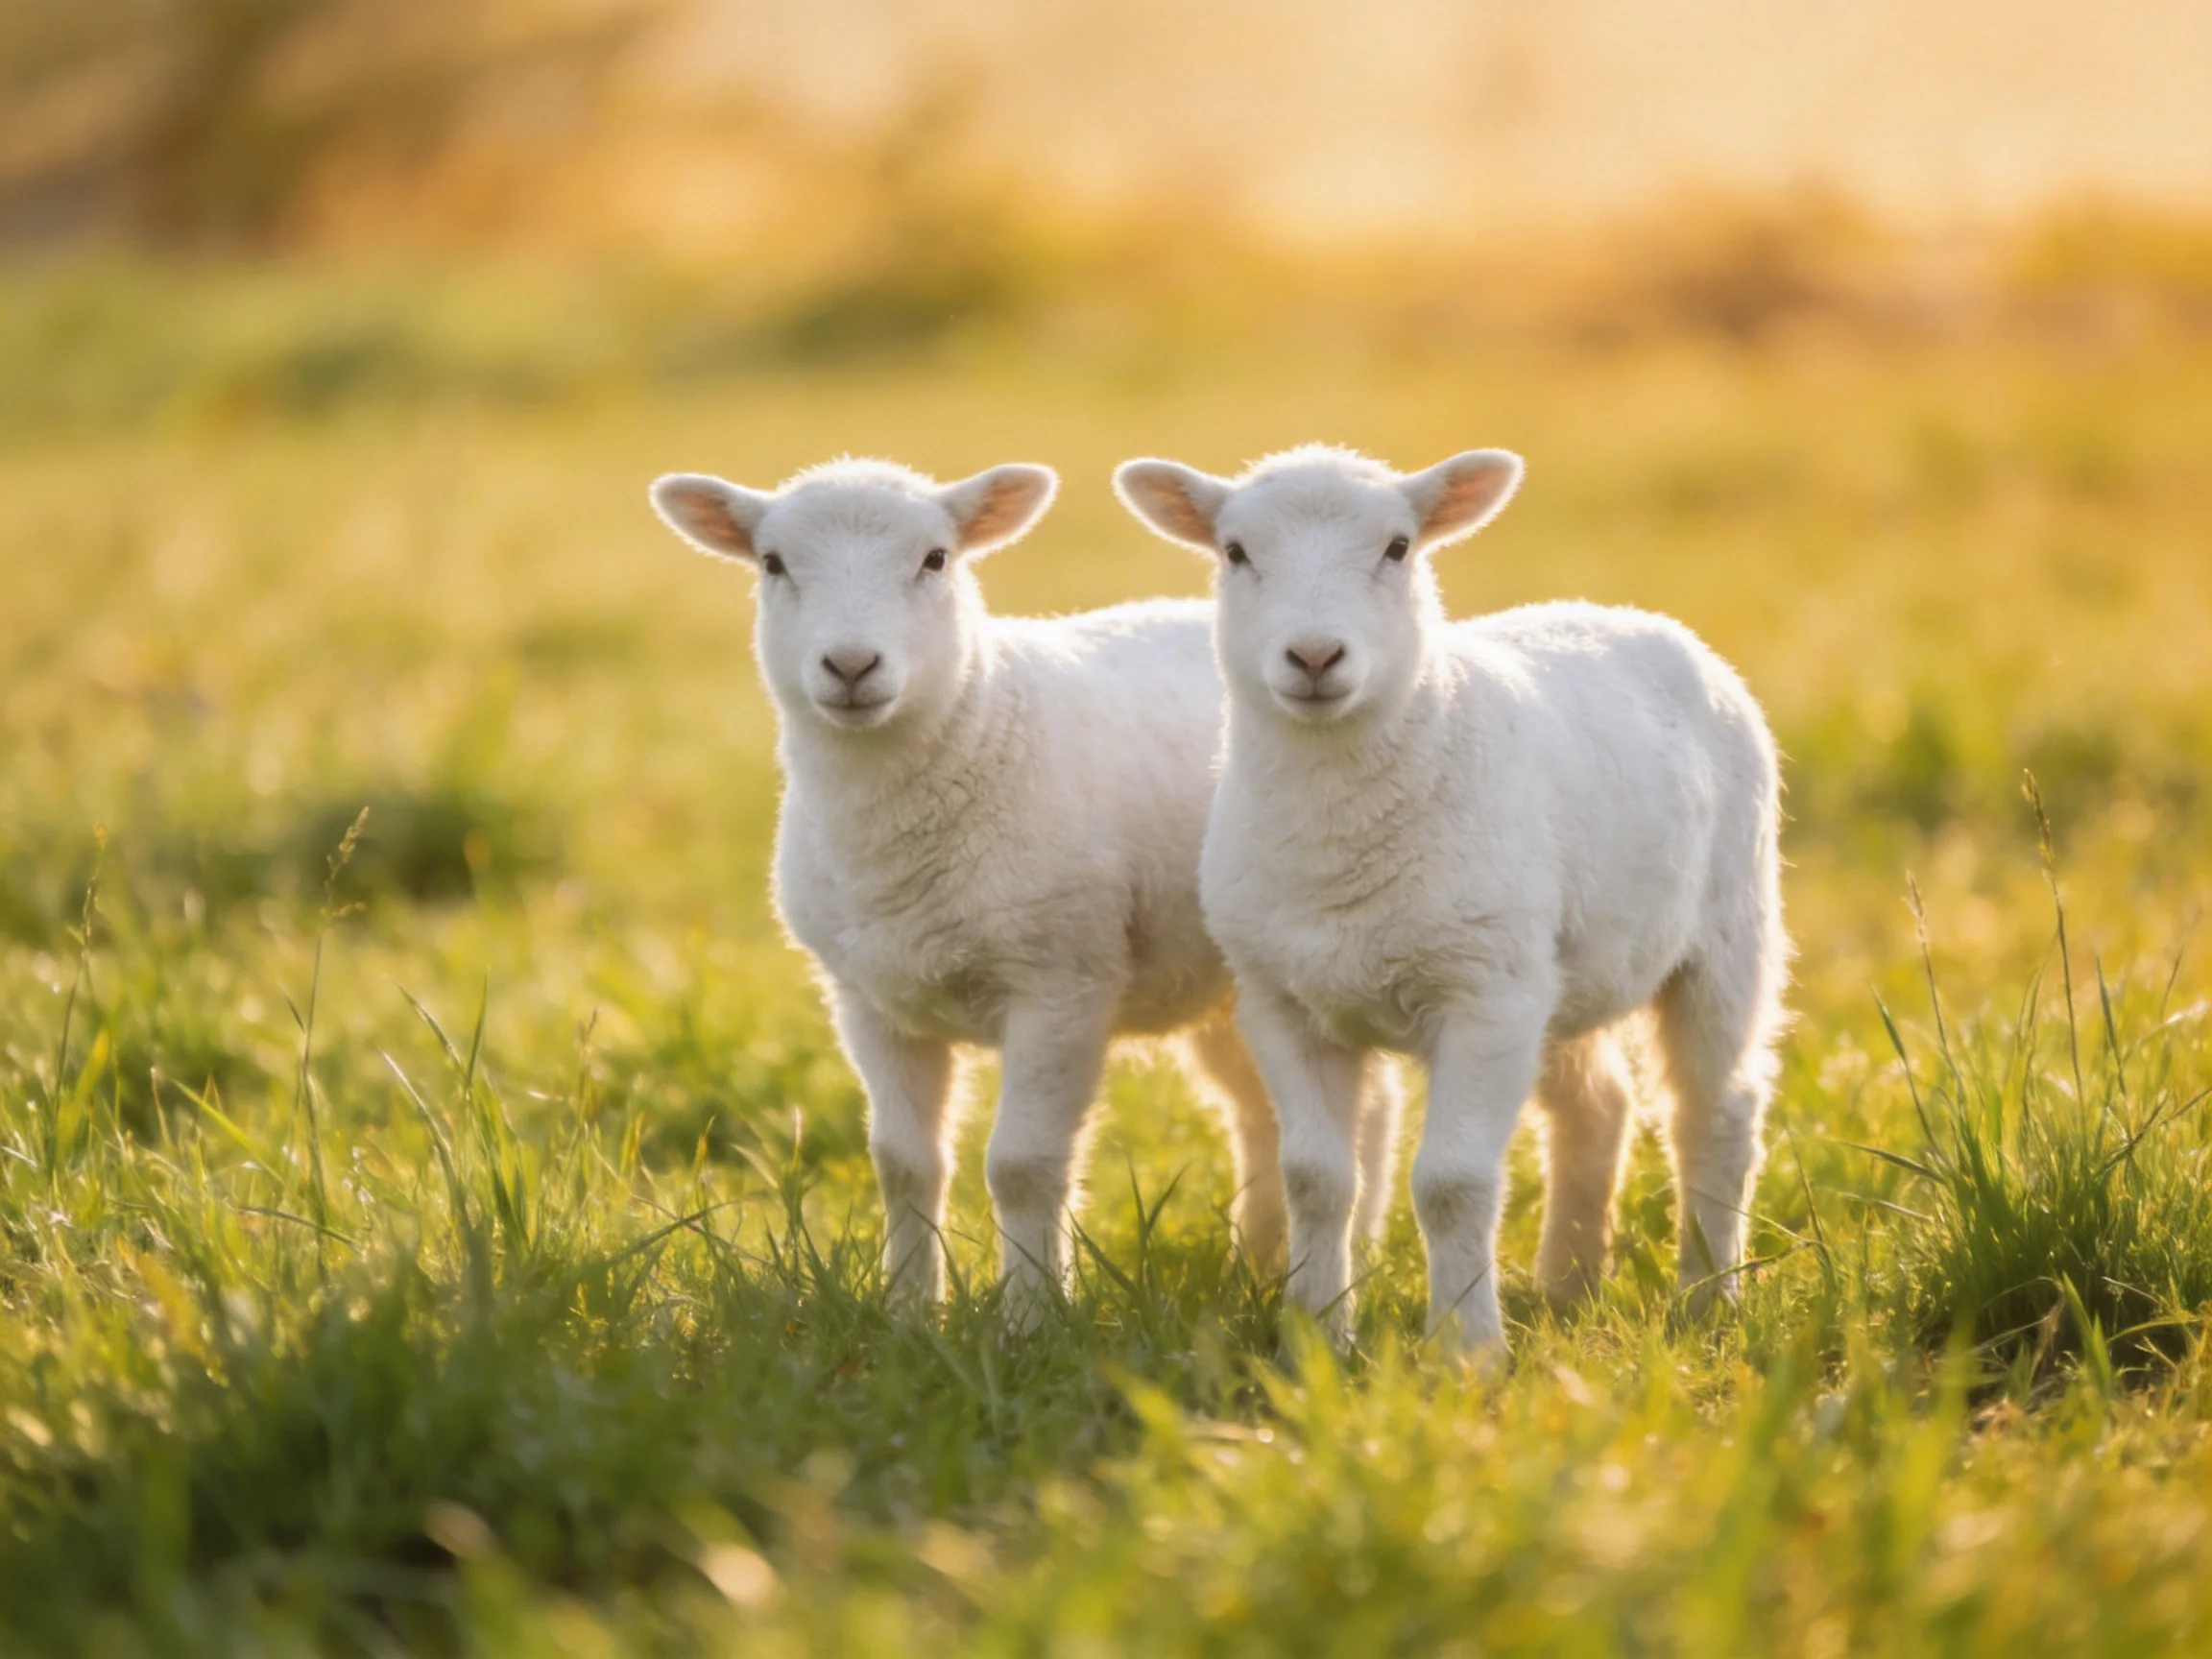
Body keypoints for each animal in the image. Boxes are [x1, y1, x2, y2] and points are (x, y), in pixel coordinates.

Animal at [647, 456, 1327, 1311]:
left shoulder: (1062, 985)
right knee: (1267, 1112)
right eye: (773, 564)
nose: (850, 666)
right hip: (1228, 985)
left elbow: (1022, 1167)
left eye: (936, 559)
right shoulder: (868, 1002)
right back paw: (1263, 1266)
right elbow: (903, 1165)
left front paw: (1033, 1318)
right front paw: (908, 1312)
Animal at [1114, 444, 1789, 1358]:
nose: (1315, 657)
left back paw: (1707, 1300)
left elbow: (1452, 1184)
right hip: (1558, 969)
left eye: (1399, 547)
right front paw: (1315, 1338)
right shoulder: (1282, 1000)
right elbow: (1315, 1179)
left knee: (1715, 1113)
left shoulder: (1482, 998)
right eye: (1235, 552)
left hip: (1724, 930)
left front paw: (1466, 1353)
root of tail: (1629, 616)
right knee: (1600, 1105)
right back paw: (1569, 1285)